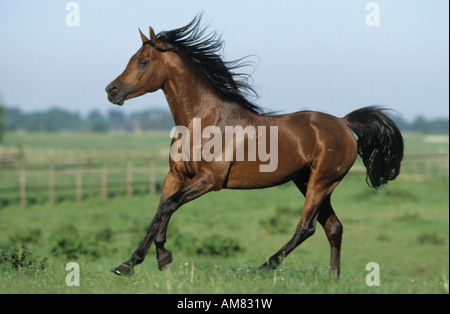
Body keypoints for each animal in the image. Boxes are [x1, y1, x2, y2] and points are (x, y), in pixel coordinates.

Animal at [105, 15, 404, 278]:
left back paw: (265, 266)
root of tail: (344, 122)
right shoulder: (176, 175)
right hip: (307, 181)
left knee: (306, 227)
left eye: (143, 61)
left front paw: (138, 263)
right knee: (333, 227)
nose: (111, 90)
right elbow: (160, 211)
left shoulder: (209, 180)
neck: (202, 121)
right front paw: (147, 260)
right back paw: (333, 279)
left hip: (322, 181)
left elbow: (168, 207)